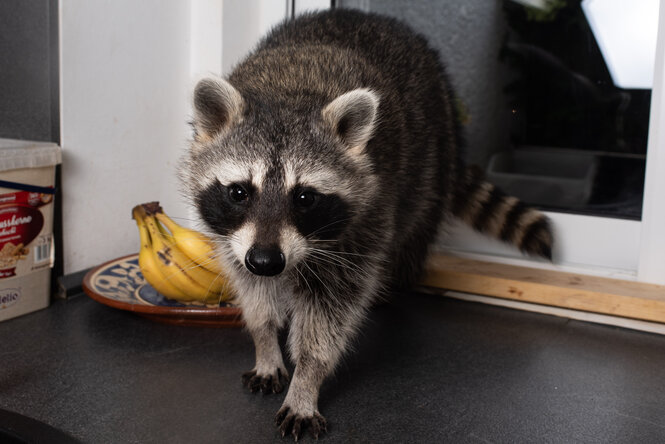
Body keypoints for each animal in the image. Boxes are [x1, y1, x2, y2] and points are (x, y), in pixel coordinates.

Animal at [179, 8, 552, 438]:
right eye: (239, 192)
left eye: (304, 198)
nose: (268, 262)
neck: (288, 95)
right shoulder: (237, 239)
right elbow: (253, 289)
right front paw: (265, 343)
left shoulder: (363, 223)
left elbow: (331, 311)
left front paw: (307, 381)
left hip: (429, 164)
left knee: (414, 233)